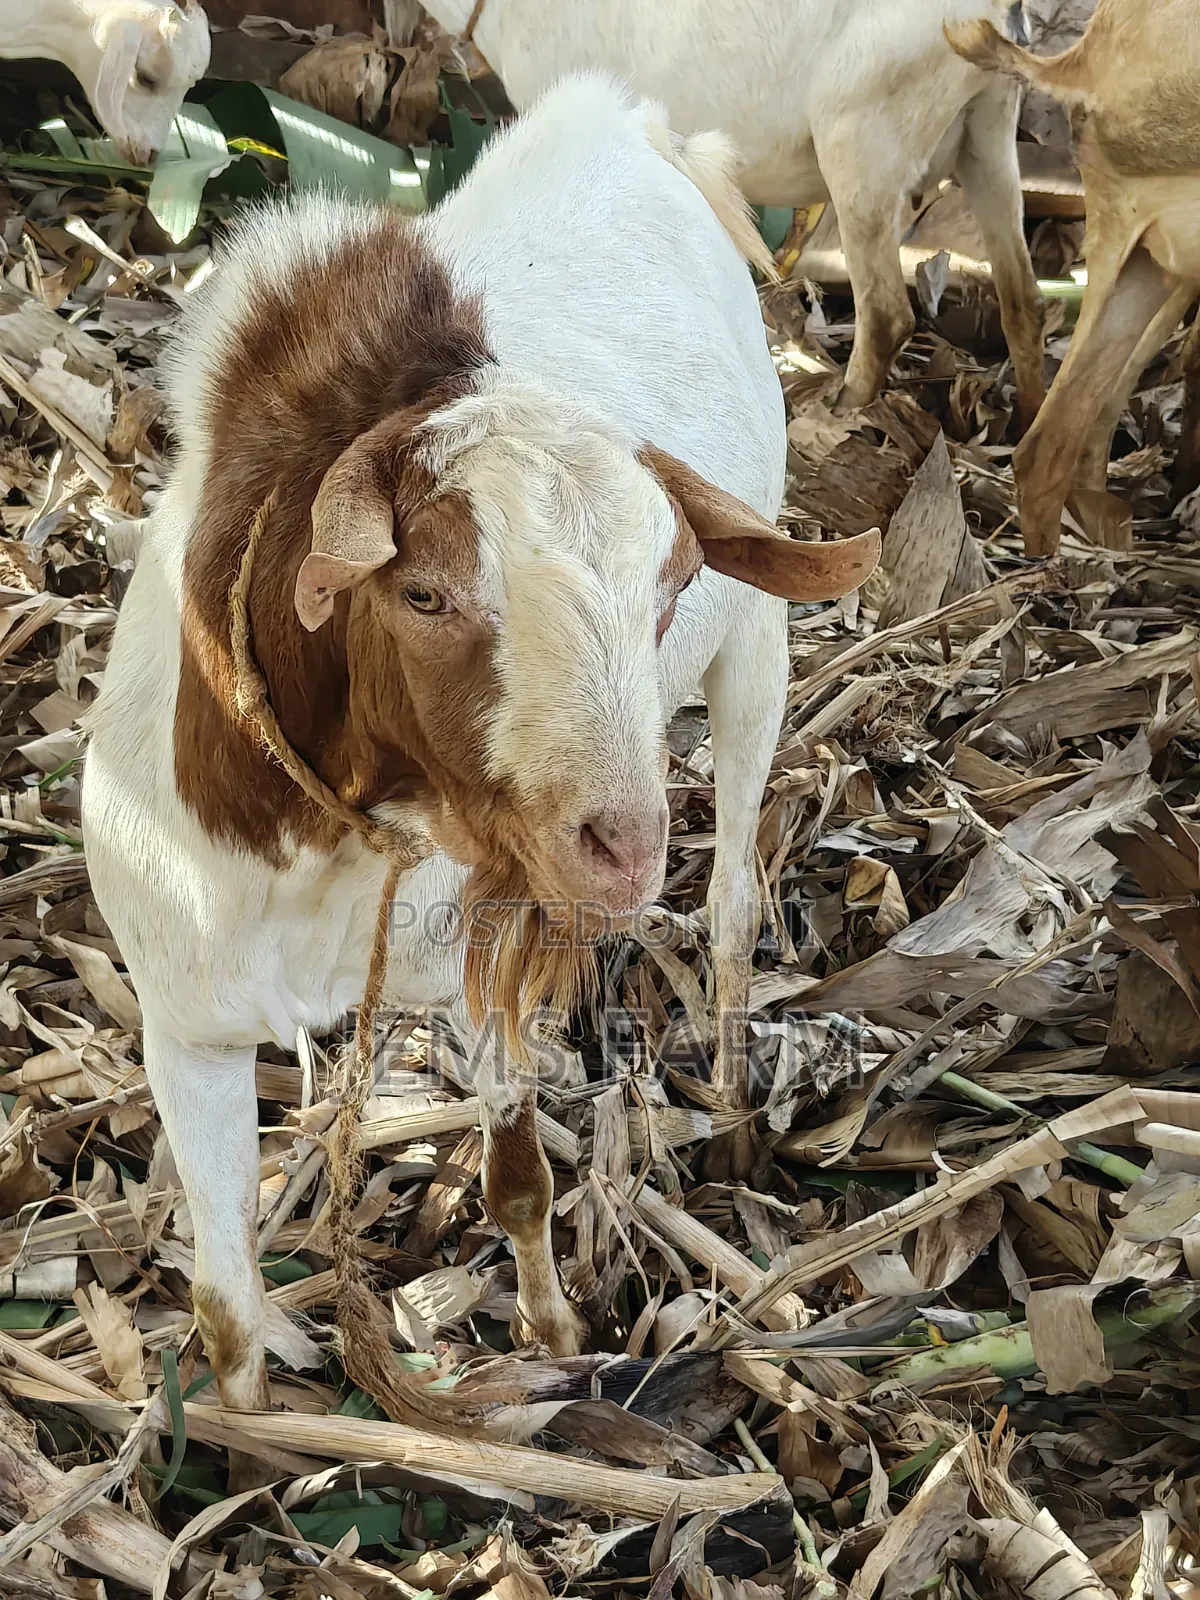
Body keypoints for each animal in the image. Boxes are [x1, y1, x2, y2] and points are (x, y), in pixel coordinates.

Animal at [82, 73, 879, 1464]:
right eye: (425, 591)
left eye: (670, 581)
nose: (620, 843)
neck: (318, 838)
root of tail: (610, 114)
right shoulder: (183, 1017)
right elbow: (226, 1307)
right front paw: (247, 1450)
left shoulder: (488, 944)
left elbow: (518, 1171)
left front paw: (554, 1341)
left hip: (759, 653)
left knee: (735, 889)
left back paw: (730, 1089)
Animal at [418, 0, 1047, 429]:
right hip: (988, 128)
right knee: (1024, 299)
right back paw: (1030, 429)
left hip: (861, 139)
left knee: (888, 314)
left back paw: (836, 408)